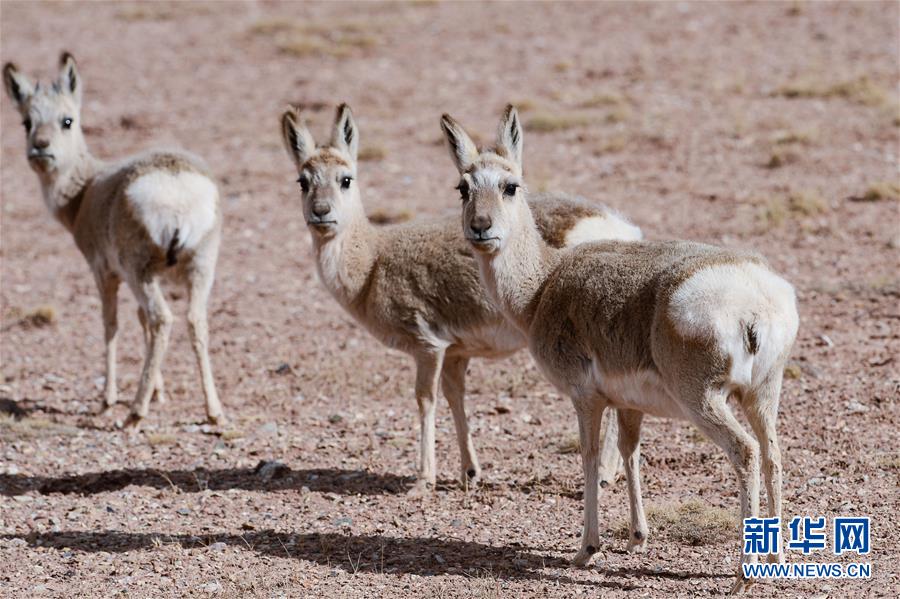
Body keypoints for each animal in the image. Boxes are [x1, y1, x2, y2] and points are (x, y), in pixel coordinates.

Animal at [4, 51, 223, 426]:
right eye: (26, 122)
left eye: (67, 120)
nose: (40, 149)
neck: (85, 191)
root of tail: (176, 186)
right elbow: (139, 319)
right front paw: (158, 392)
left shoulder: (104, 273)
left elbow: (111, 324)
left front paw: (108, 399)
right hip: (198, 269)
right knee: (195, 321)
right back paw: (213, 412)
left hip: (141, 273)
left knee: (162, 319)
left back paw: (134, 413)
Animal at [280, 103, 640, 494]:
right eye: (303, 180)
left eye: (345, 178)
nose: (321, 212)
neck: (372, 262)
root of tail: (624, 229)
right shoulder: (455, 353)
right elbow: (456, 397)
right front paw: (470, 471)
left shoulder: (428, 346)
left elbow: (425, 399)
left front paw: (424, 479)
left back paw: (604, 472)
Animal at [440, 104, 800, 592]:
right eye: (463, 187)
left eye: (510, 185)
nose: (481, 228)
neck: (544, 286)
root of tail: (756, 297)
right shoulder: (630, 405)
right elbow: (630, 454)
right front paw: (637, 537)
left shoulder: (586, 398)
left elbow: (591, 459)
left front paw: (585, 550)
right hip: (762, 395)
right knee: (772, 454)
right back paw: (776, 556)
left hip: (705, 401)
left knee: (745, 453)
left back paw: (744, 574)